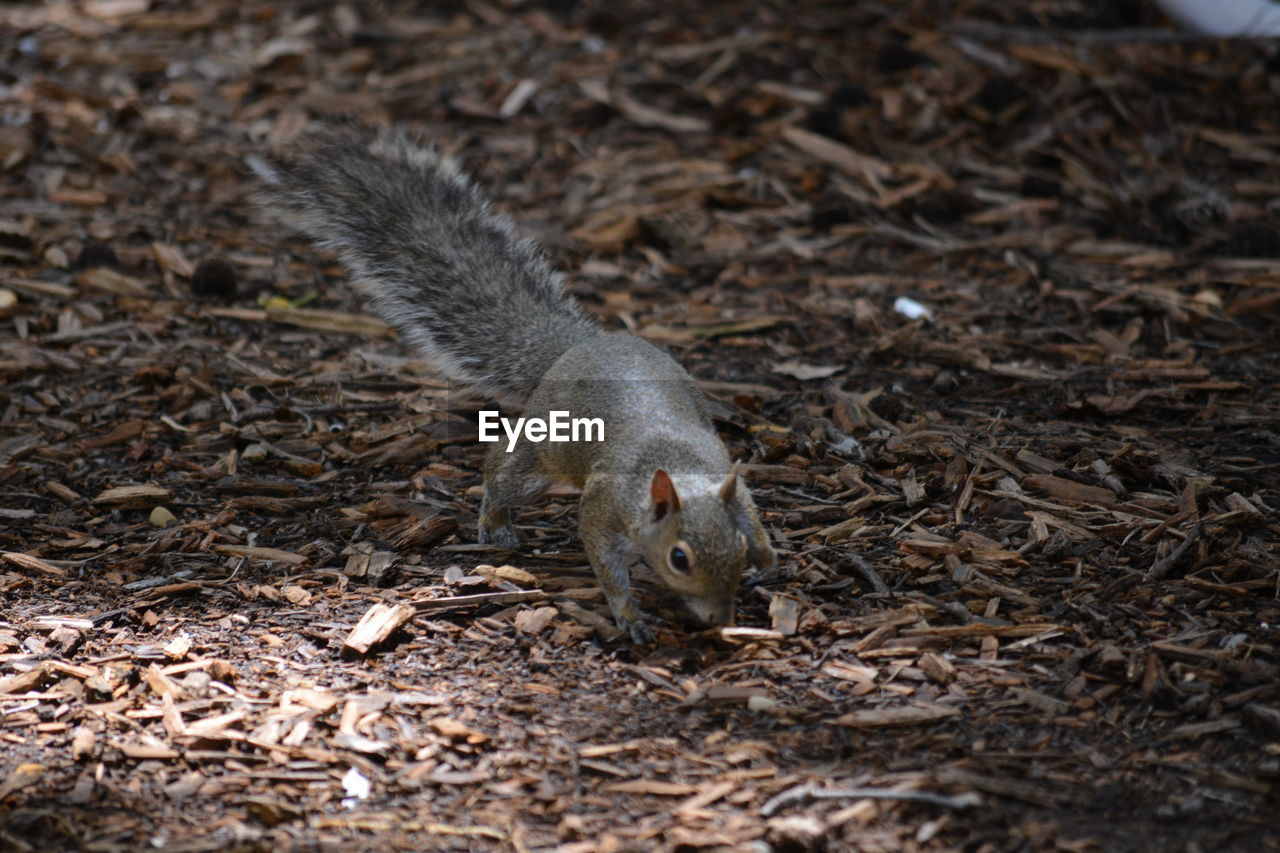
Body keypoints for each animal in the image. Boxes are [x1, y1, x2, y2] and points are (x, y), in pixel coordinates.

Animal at [254, 126, 773, 637]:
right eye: (678, 558)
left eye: (738, 548)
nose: (720, 618)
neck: (675, 470)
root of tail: (579, 347)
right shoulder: (602, 511)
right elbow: (605, 565)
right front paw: (629, 615)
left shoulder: (734, 489)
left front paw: (768, 559)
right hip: (541, 452)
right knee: (501, 472)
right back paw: (494, 522)